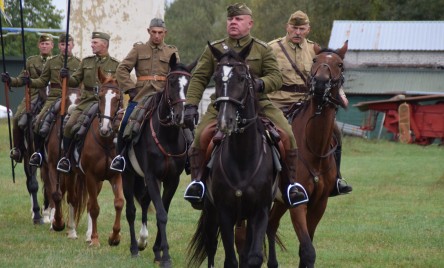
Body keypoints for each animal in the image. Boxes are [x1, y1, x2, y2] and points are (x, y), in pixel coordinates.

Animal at [40, 87, 81, 231]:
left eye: (81, 100)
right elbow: (55, 193)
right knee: (51, 189)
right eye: (66, 100)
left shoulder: (71, 171)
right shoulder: (52, 166)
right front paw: (56, 222)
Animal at [63, 70, 124, 246]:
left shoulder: (115, 175)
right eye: (100, 97)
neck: (105, 141)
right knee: (72, 198)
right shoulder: (90, 176)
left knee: (90, 201)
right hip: (71, 174)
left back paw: (89, 234)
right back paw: (72, 232)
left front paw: (114, 237)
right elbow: (95, 208)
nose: (105, 129)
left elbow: (119, 203)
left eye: (118, 98)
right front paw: (96, 240)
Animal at [186, 40, 276, 268]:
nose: (225, 121)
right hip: (211, 213)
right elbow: (230, 260)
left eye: (242, 78)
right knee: (210, 245)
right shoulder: (224, 212)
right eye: (217, 78)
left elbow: (252, 257)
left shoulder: (260, 212)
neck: (243, 157)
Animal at [266, 40, 348, 268]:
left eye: (339, 64)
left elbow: (306, 249)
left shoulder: (318, 204)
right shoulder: (298, 203)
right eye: (315, 60)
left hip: (279, 202)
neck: (313, 149)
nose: (320, 84)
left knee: (270, 225)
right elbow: (308, 251)